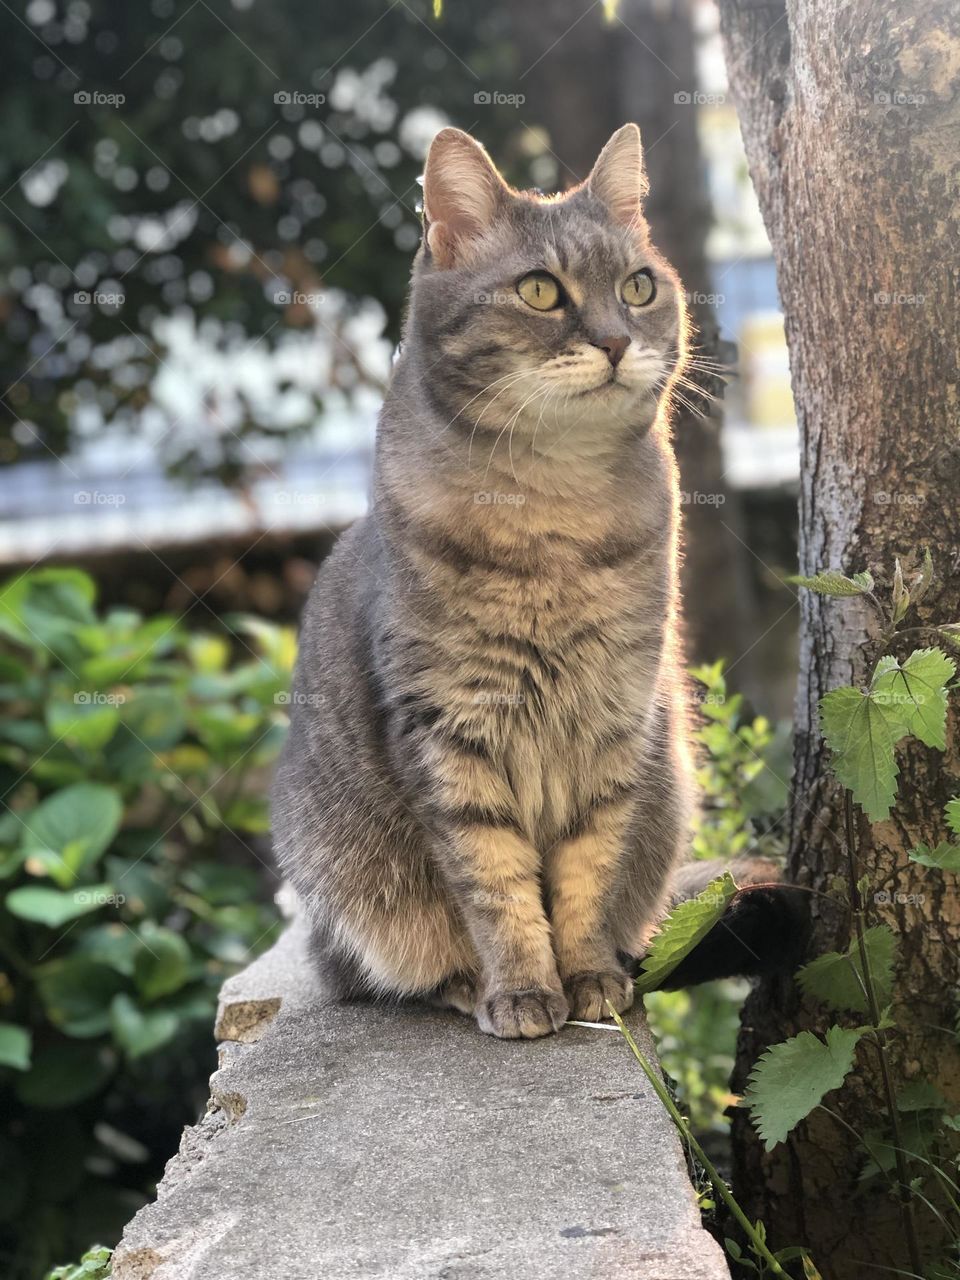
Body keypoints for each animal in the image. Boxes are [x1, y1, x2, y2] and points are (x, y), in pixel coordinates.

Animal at [271, 124, 803, 1034]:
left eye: (637, 286)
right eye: (540, 291)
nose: (617, 340)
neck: (556, 514)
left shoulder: (617, 721)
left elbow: (588, 874)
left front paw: (587, 976)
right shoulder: (449, 730)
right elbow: (494, 882)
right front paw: (521, 987)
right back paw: (460, 984)